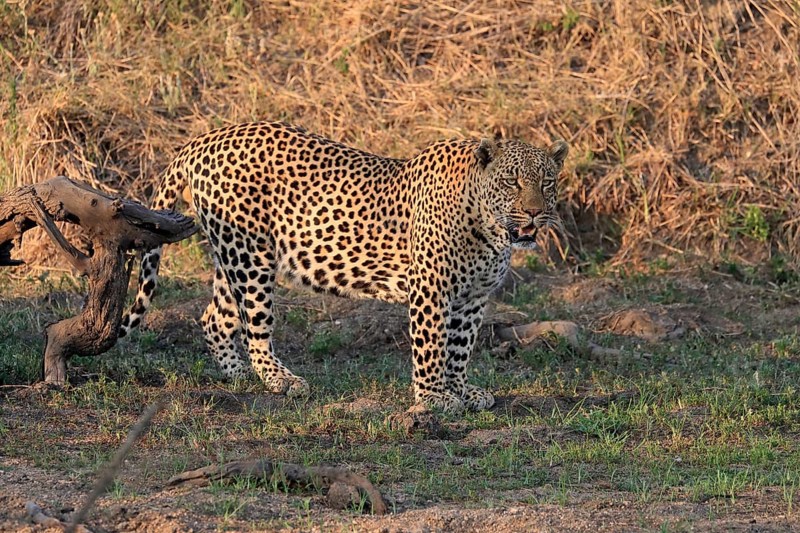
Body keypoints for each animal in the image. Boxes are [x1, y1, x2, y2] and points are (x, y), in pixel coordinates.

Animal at [119, 121, 568, 413]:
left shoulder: (473, 297)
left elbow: (459, 348)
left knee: (216, 318)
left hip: (234, 255)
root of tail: (203, 139)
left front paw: (462, 390)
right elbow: (431, 346)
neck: (489, 230)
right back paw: (281, 380)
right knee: (256, 328)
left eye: (546, 182)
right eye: (511, 181)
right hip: (250, 258)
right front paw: (432, 397)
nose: (534, 213)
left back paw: (239, 375)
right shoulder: (431, 289)